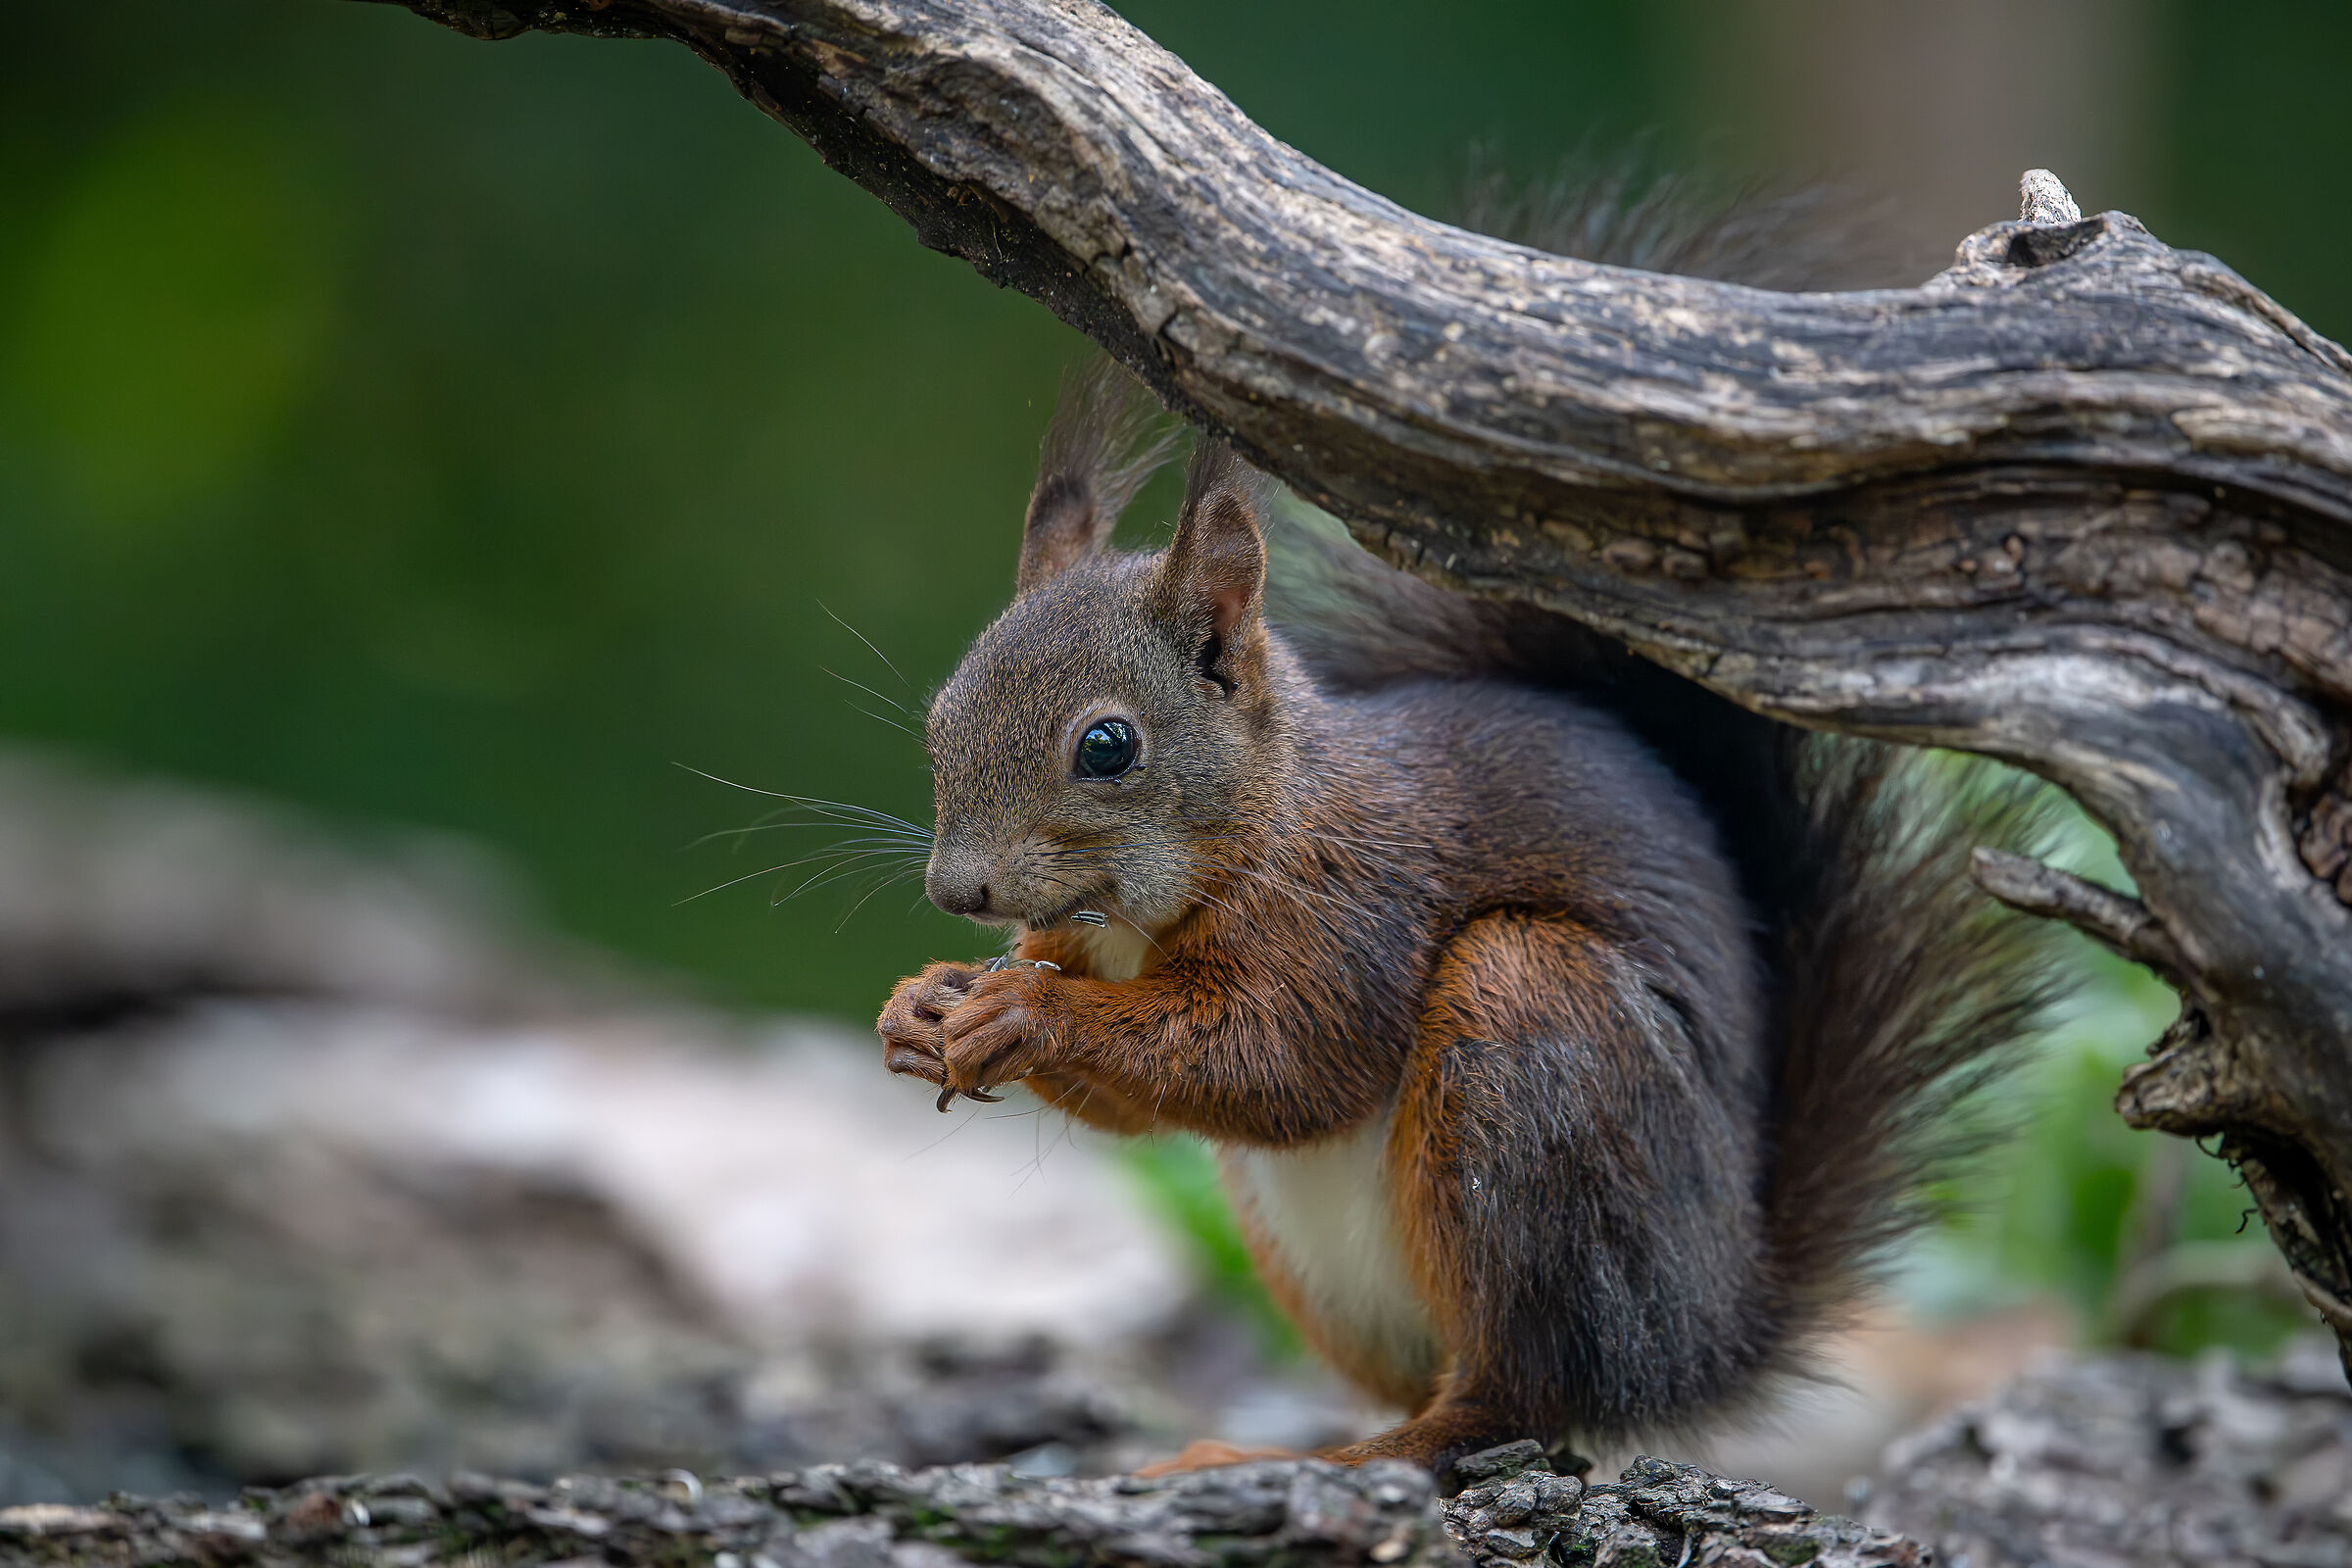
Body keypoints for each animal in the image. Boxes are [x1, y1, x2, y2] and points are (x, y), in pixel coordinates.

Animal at [874, 181, 2061, 1475]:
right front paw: (924, 1005)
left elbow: (1279, 1064)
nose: (959, 892)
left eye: (1107, 746)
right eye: (941, 715)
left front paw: (1021, 1013)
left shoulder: (1351, 917)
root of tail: (1709, 1334)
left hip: (1534, 1035)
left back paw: (1297, 1462)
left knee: (1510, 1404)